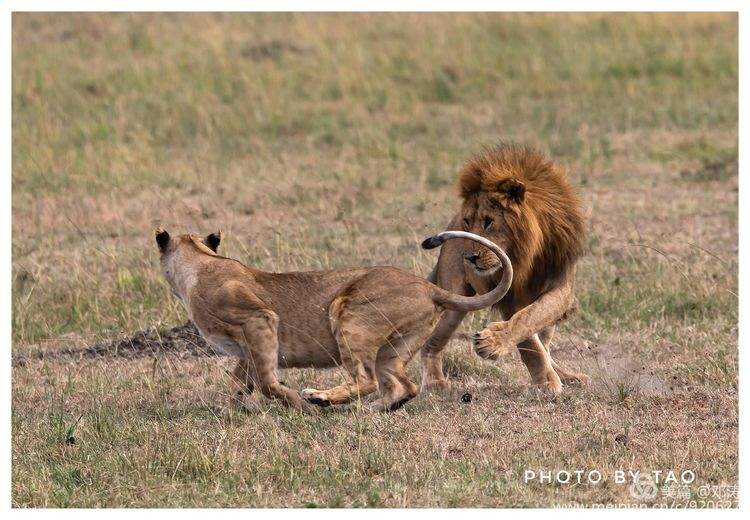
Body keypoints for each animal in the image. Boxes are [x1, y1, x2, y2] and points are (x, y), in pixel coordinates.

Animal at [156, 228, 516, 410]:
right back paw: (369, 412)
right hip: (393, 348)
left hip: (347, 314)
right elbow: (239, 382)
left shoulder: (259, 319)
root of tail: (429, 286)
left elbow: (268, 383)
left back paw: (322, 399)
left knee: (367, 381)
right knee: (404, 386)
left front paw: (299, 407)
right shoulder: (247, 346)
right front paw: (234, 410)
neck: (200, 263)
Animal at [424, 143, 588, 394]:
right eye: (467, 222)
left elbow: (533, 317)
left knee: (546, 340)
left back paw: (569, 376)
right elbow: (528, 334)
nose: (468, 257)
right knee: (431, 340)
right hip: (456, 299)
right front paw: (545, 381)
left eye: (489, 221)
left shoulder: (562, 287)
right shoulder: (509, 295)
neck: (528, 251)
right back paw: (434, 382)